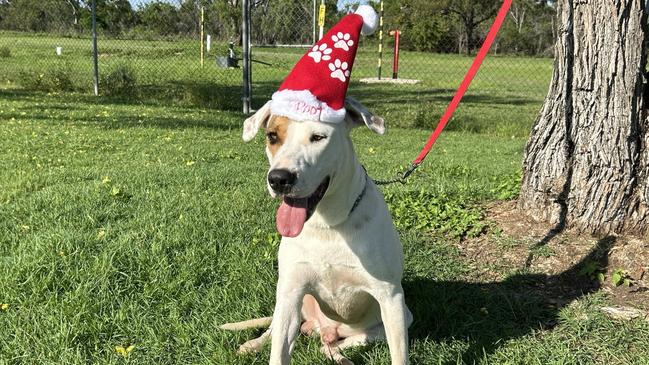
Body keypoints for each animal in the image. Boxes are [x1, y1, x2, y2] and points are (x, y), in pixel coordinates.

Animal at [221, 97, 410, 364]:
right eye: (272, 136)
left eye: (318, 137)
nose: (279, 179)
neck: (327, 225)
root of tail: (321, 328)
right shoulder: (290, 292)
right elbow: (278, 350)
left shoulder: (390, 297)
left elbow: (399, 354)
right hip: (292, 303)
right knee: (275, 328)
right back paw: (254, 343)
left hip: (399, 317)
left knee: (339, 343)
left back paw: (338, 354)